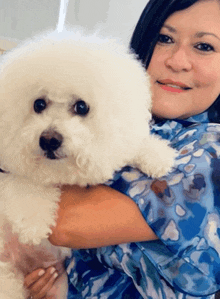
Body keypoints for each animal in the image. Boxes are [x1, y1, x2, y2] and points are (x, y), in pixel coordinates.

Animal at [0, 28, 175, 299]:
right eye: (38, 104)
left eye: (81, 107)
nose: (48, 140)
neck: (59, 171)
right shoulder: (14, 169)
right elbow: (27, 186)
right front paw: (33, 225)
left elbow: (133, 143)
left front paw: (158, 156)